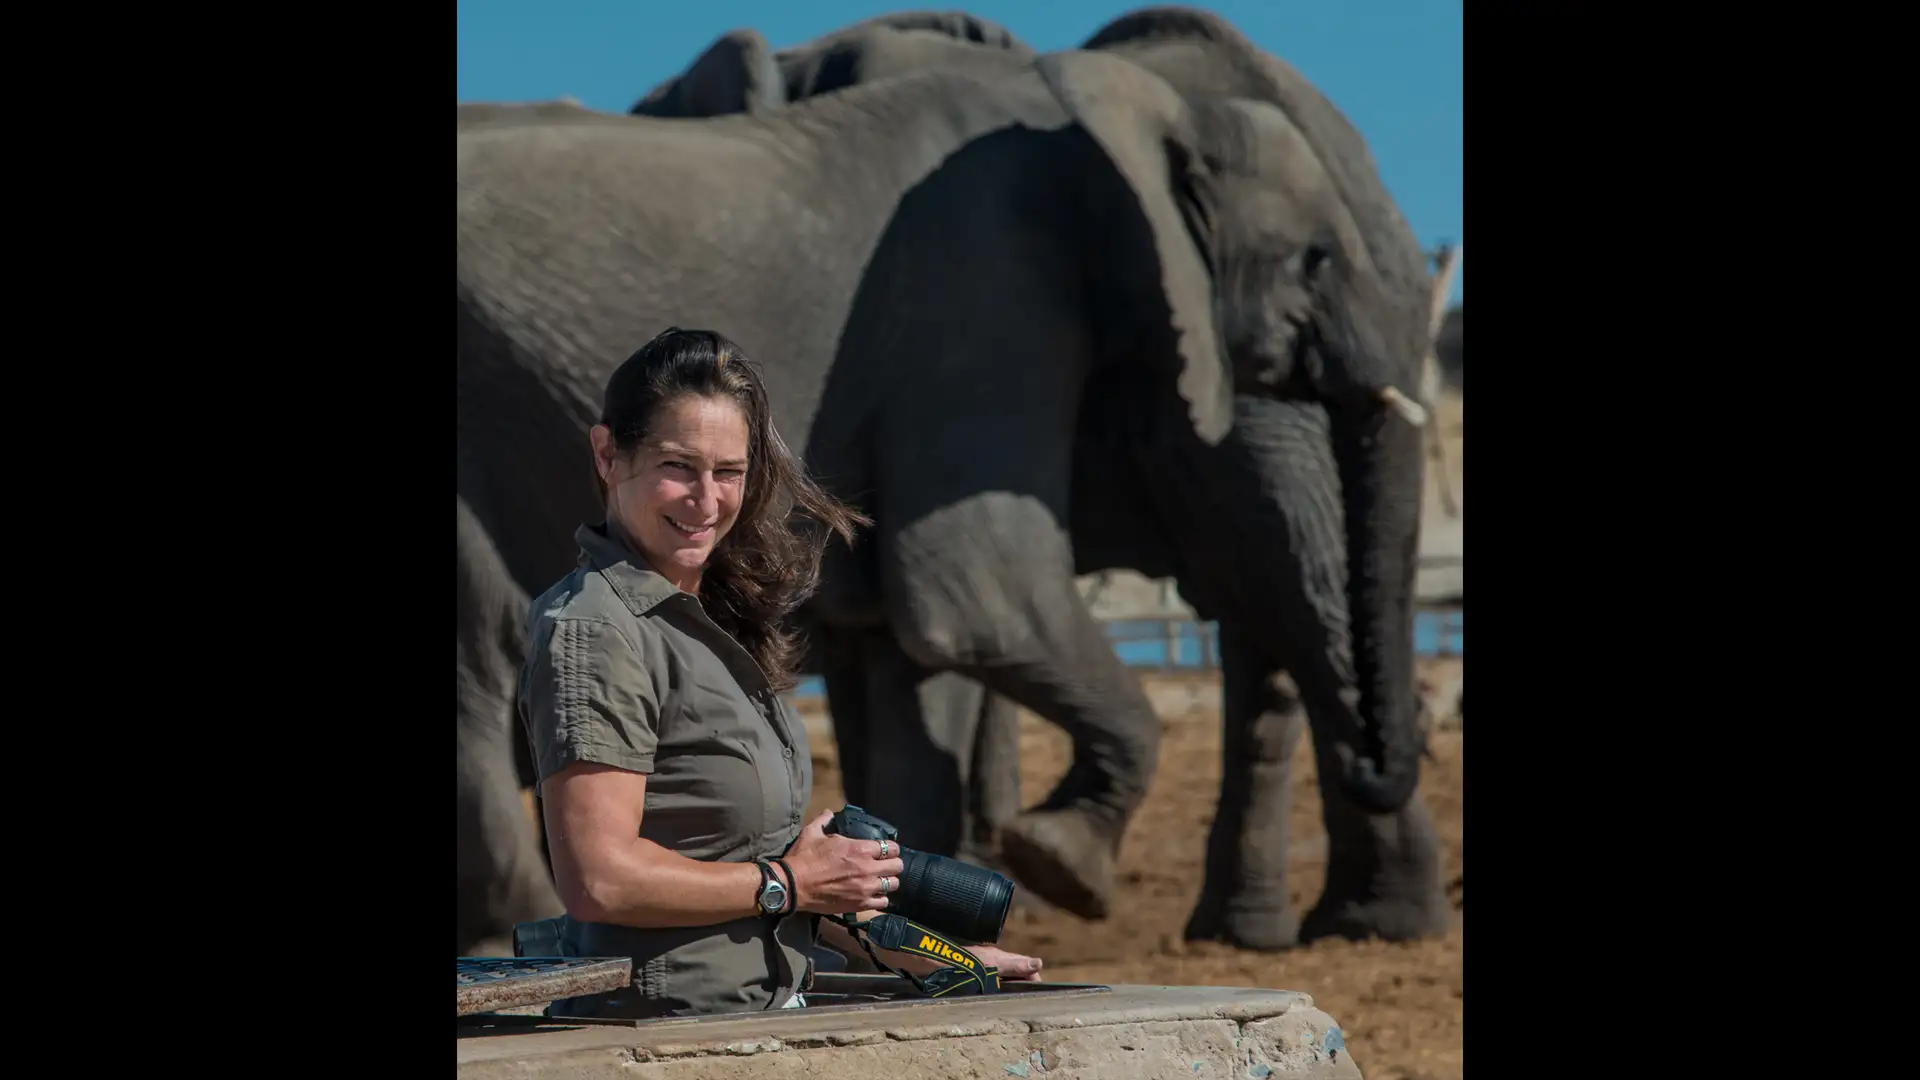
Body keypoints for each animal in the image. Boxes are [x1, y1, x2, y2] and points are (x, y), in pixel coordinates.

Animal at [455, 29, 1437, 955]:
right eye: (1316, 258)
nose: (1398, 742)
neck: (1120, 115)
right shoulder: (988, 291)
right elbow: (977, 595)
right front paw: (1065, 860)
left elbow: (919, 650)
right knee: (483, 653)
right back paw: (518, 920)